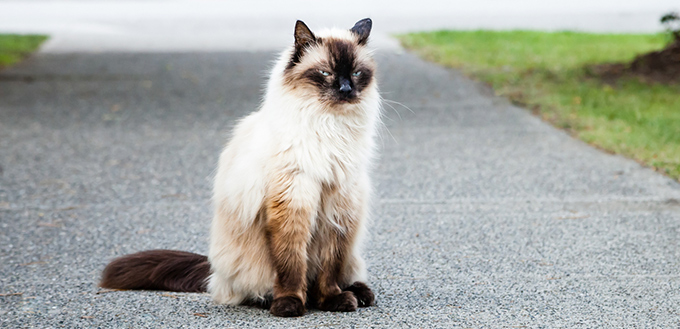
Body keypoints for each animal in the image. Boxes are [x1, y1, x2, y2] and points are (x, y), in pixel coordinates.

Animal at [99, 18, 380, 316]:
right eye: (325, 73)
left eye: (357, 73)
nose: (346, 90)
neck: (329, 126)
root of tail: (213, 272)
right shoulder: (292, 203)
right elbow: (291, 264)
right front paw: (290, 305)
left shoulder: (338, 209)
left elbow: (329, 269)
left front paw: (333, 301)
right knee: (256, 288)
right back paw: (276, 300)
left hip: (352, 252)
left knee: (339, 276)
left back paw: (358, 294)